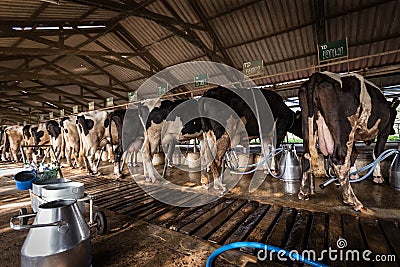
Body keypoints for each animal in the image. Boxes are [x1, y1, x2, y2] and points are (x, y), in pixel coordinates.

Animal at [298, 72, 396, 213]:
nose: (394, 131)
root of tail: (319, 74)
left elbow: (354, 153)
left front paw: (354, 175)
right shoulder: (385, 130)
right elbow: (377, 153)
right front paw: (378, 177)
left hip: (308, 125)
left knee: (306, 157)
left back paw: (303, 193)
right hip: (345, 127)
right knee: (340, 159)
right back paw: (353, 201)